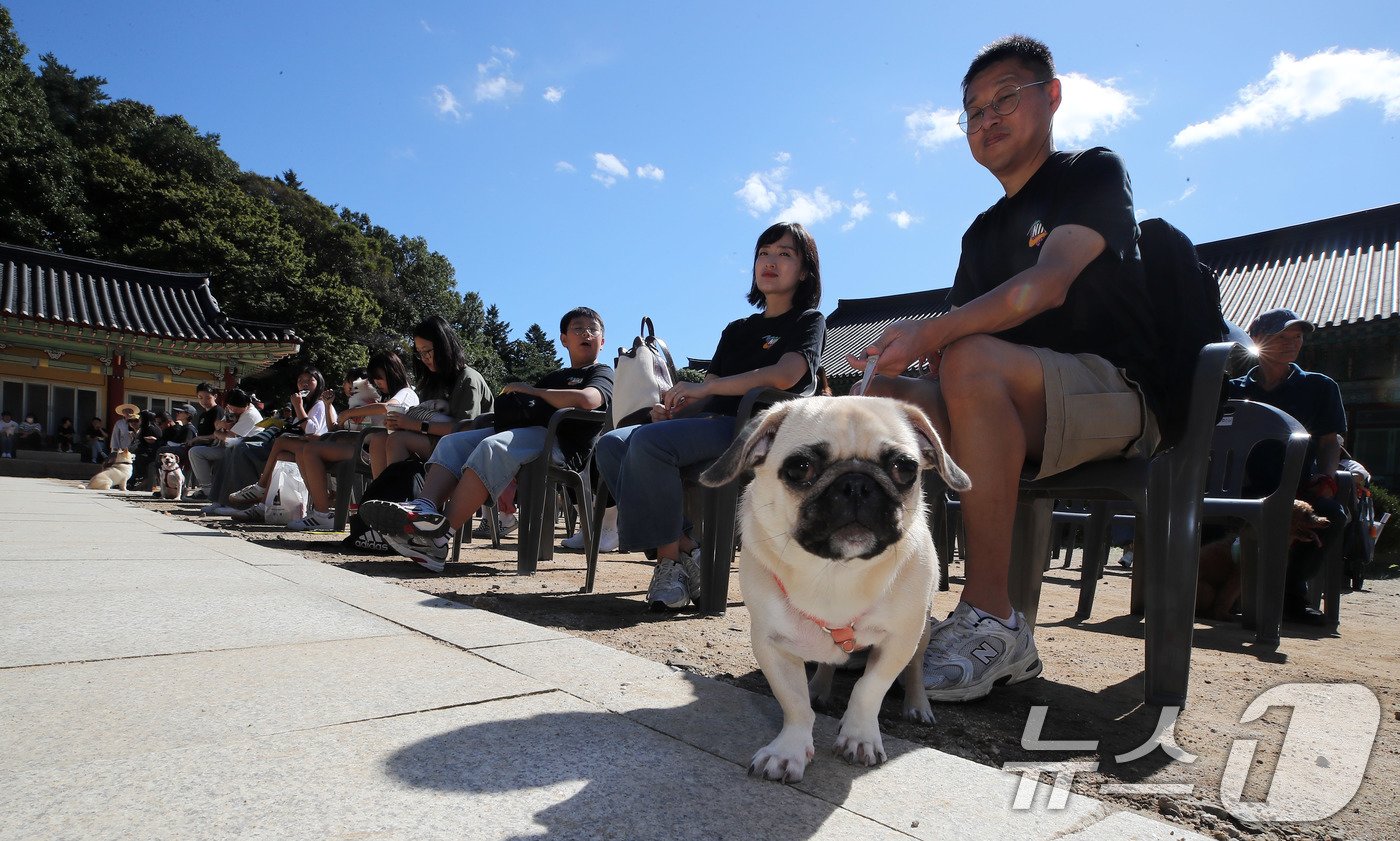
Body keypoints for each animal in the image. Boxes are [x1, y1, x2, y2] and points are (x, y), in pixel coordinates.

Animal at [700, 394, 974, 778]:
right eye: (800, 468)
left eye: (904, 468)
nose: (856, 484)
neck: (835, 572)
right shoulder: (770, 643)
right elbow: (795, 702)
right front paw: (789, 750)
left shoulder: (900, 640)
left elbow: (869, 688)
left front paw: (859, 736)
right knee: (828, 664)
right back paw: (820, 687)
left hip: (922, 633)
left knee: (916, 668)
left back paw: (917, 705)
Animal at [1198, 498, 1327, 615]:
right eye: (1305, 514)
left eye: (1312, 511)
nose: (1326, 522)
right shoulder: (1236, 578)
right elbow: (1226, 597)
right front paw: (1222, 614)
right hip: (1207, 590)